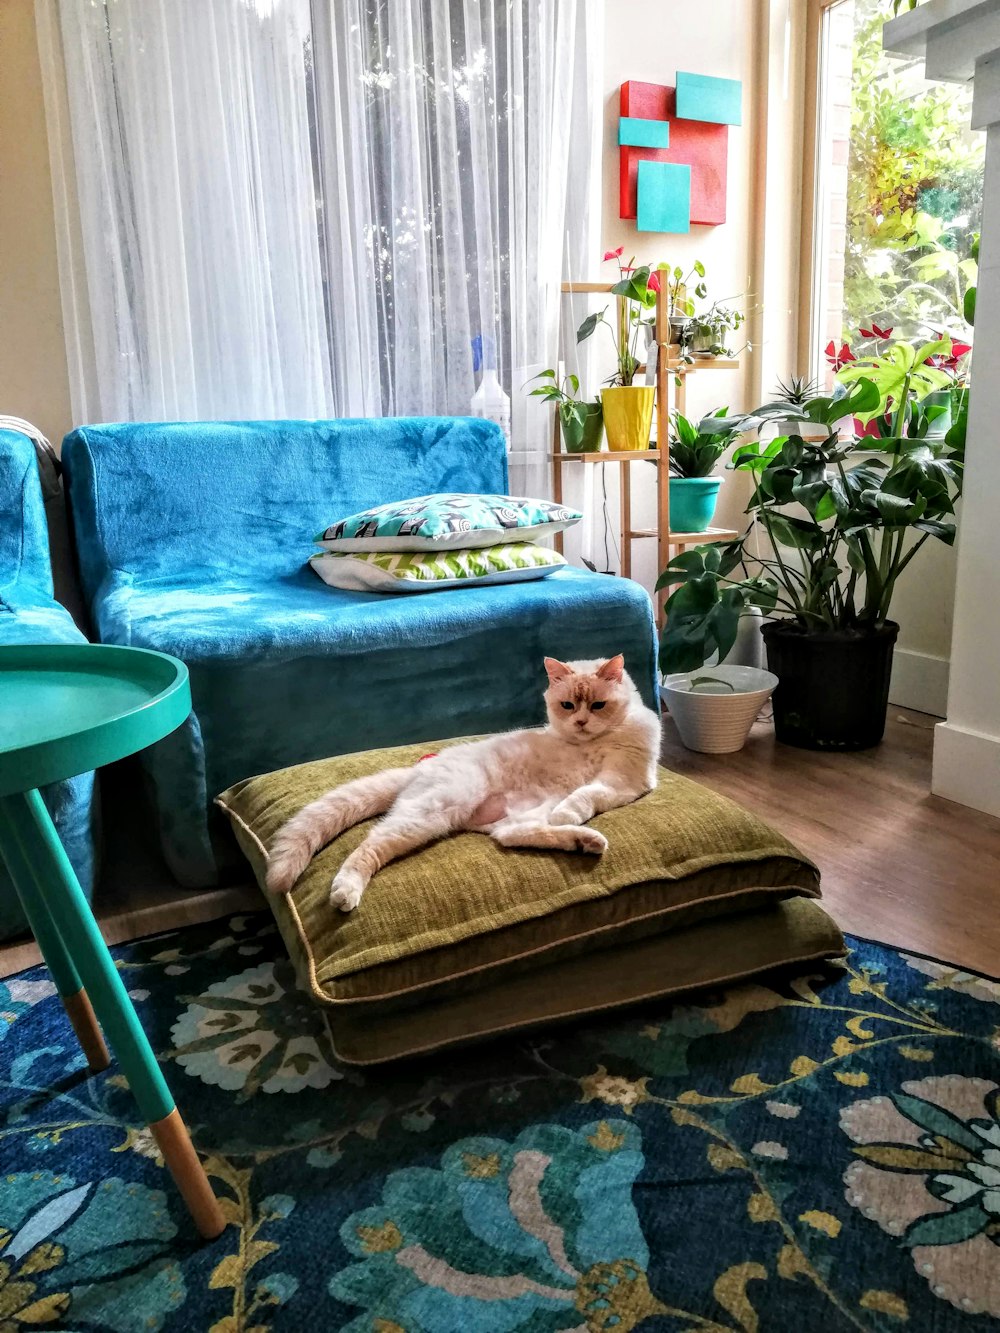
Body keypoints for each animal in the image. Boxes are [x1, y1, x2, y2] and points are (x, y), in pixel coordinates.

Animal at [264, 650, 666, 911]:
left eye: (597, 706)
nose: (581, 722)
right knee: (369, 845)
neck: (591, 743)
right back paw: (345, 892)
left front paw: (572, 815)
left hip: (516, 812)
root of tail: (422, 767)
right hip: (430, 813)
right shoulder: (620, 781)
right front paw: (572, 812)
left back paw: (584, 841)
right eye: (568, 706)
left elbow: (588, 793)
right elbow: (587, 793)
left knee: (514, 835)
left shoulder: (624, 779)